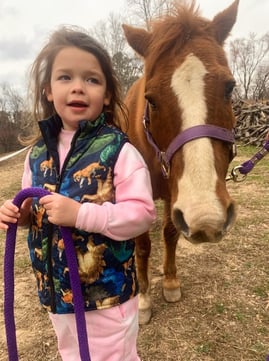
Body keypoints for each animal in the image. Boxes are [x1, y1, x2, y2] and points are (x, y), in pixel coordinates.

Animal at [121, 0, 239, 324]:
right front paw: (143, 300)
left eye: (230, 87)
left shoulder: (175, 197)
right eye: (151, 99)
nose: (207, 218)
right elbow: (143, 246)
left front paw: (171, 282)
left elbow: (171, 233)